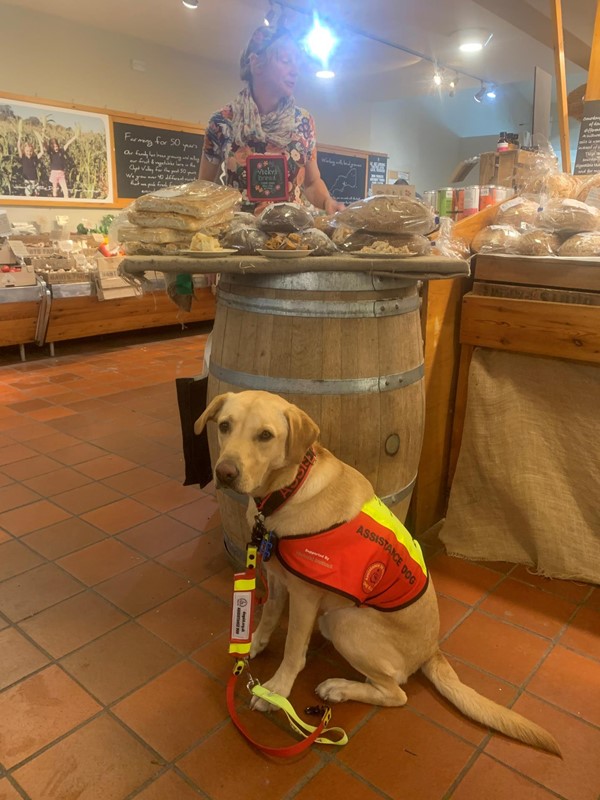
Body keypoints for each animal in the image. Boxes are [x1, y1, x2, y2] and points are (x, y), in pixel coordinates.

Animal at [196, 390, 556, 752]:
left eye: (265, 435)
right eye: (224, 426)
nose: (224, 472)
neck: (288, 490)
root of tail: (432, 650)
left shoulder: (305, 596)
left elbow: (294, 652)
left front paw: (275, 691)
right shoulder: (276, 577)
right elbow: (269, 615)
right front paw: (252, 645)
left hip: (343, 622)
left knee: (396, 693)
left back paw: (339, 688)